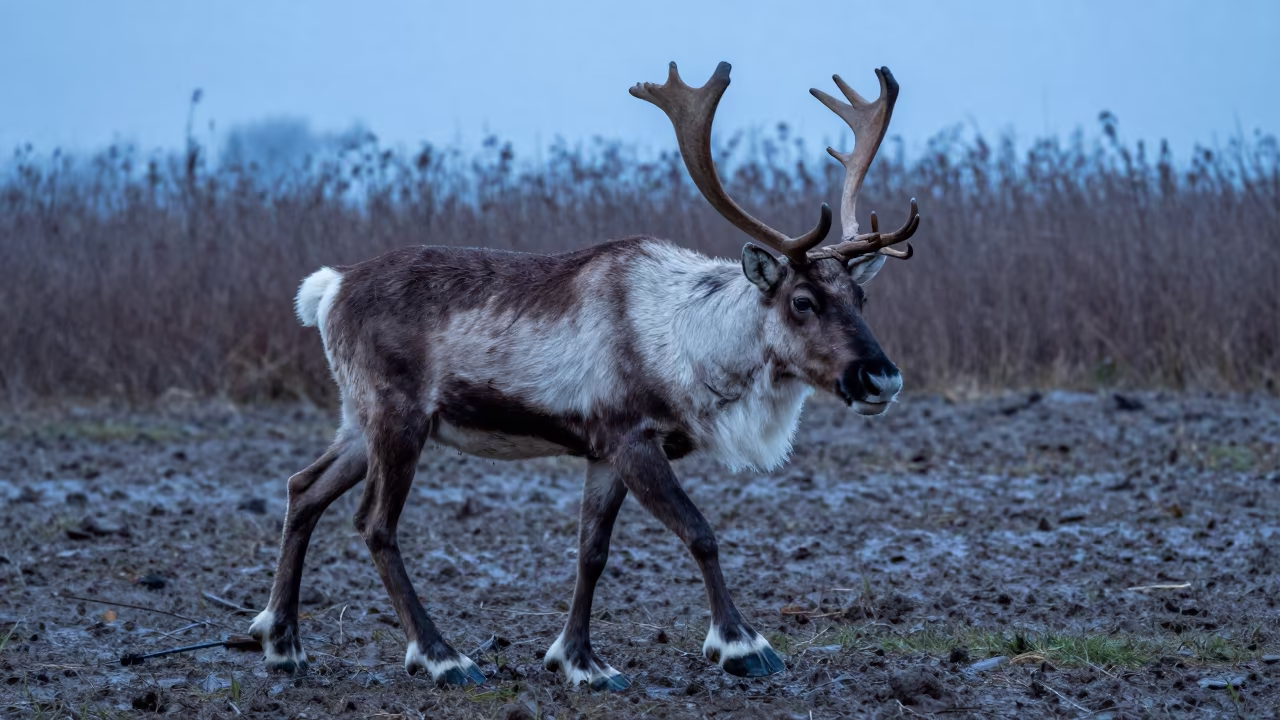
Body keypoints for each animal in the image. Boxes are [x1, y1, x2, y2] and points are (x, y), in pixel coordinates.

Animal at [248, 60, 920, 691]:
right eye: (803, 301)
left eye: (860, 295)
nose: (882, 379)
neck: (691, 342)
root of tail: (329, 288)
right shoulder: (632, 439)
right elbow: (700, 533)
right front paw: (742, 646)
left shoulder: (603, 452)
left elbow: (591, 553)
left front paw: (578, 661)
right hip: (397, 417)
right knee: (375, 525)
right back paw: (442, 657)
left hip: (358, 420)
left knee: (303, 488)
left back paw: (282, 643)